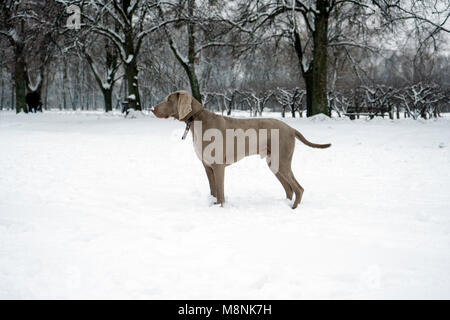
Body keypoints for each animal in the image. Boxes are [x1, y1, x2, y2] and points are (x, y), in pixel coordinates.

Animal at [153, 90, 332, 210]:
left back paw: (293, 208)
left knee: (298, 188)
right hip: (274, 163)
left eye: (168, 99)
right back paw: (285, 205)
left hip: (282, 161)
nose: (153, 108)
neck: (197, 119)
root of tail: (291, 128)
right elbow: (213, 191)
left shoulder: (218, 166)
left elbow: (220, 193)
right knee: (289, 188)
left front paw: (220, 208)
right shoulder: (207, 166)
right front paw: (212, 206)